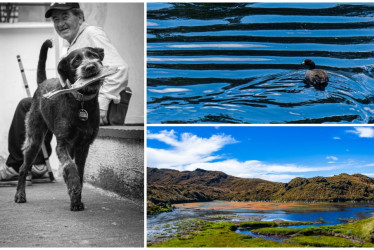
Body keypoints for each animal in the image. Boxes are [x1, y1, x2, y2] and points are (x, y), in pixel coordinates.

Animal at [14, 40, 104, 211]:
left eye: (94, 56)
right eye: (75, 61)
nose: (90, 67)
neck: (81, 102)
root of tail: (42, 83)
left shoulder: (83, 146)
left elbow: (79, 171)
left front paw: (76, 200)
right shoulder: (63, 144)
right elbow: (70, 166)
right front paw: (74, 187)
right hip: (35, 140)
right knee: (23, 168)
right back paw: (19, 195)